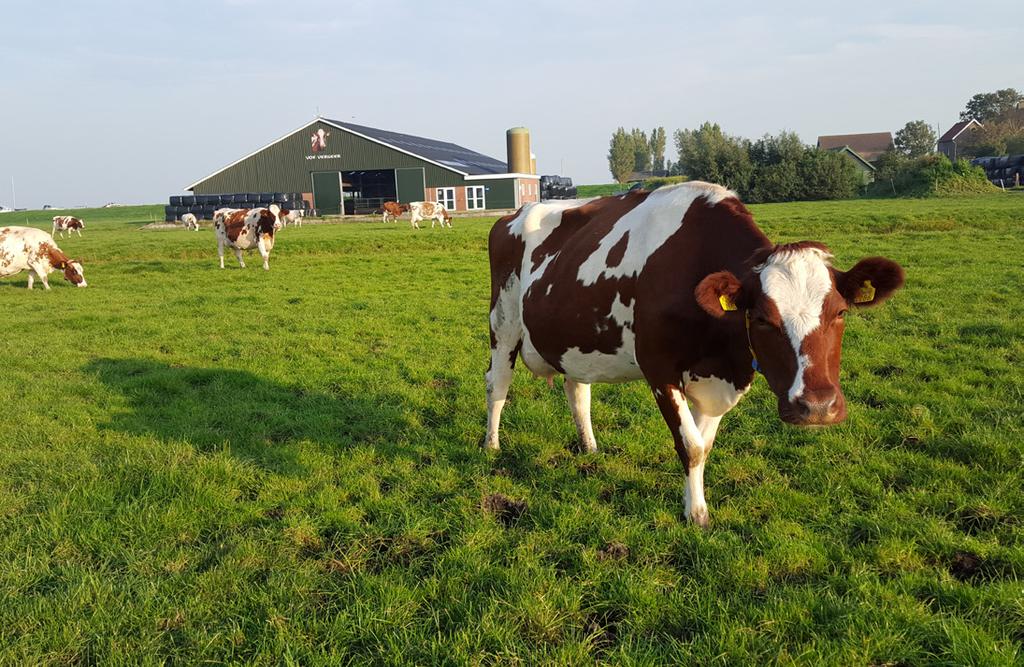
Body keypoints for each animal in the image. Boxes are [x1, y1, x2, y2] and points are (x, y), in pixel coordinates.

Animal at [487, 181, 905, 528]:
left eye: (840, 312)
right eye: (762, 318)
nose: (817, 407)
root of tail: (515, 213)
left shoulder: (723, 379)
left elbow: (704, 446)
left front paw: (695, 505)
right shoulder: (659, 369)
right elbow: (689, 446)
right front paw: (698, 516)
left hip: (573, 339)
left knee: (577, 390)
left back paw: (589, 448)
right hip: (503, 323)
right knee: (498, 385)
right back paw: (491, 446)